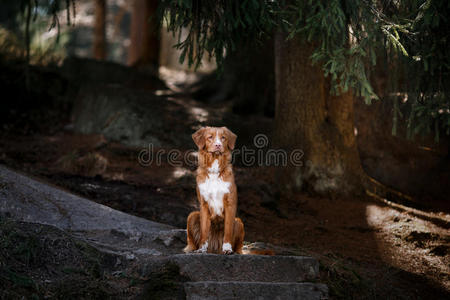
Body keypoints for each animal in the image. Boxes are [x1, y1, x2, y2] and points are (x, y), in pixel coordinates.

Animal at [184, 126, 244, 255]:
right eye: (210, 137)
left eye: (223, 138)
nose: (218, 145)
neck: (214, 172)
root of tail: (215, 247)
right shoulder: (204, 204)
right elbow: (204, 230)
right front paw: (201, 249)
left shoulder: (230, 204)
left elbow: (228, 229)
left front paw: (227, 248)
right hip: (192, 216)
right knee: (192, 242)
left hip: (239, 222)